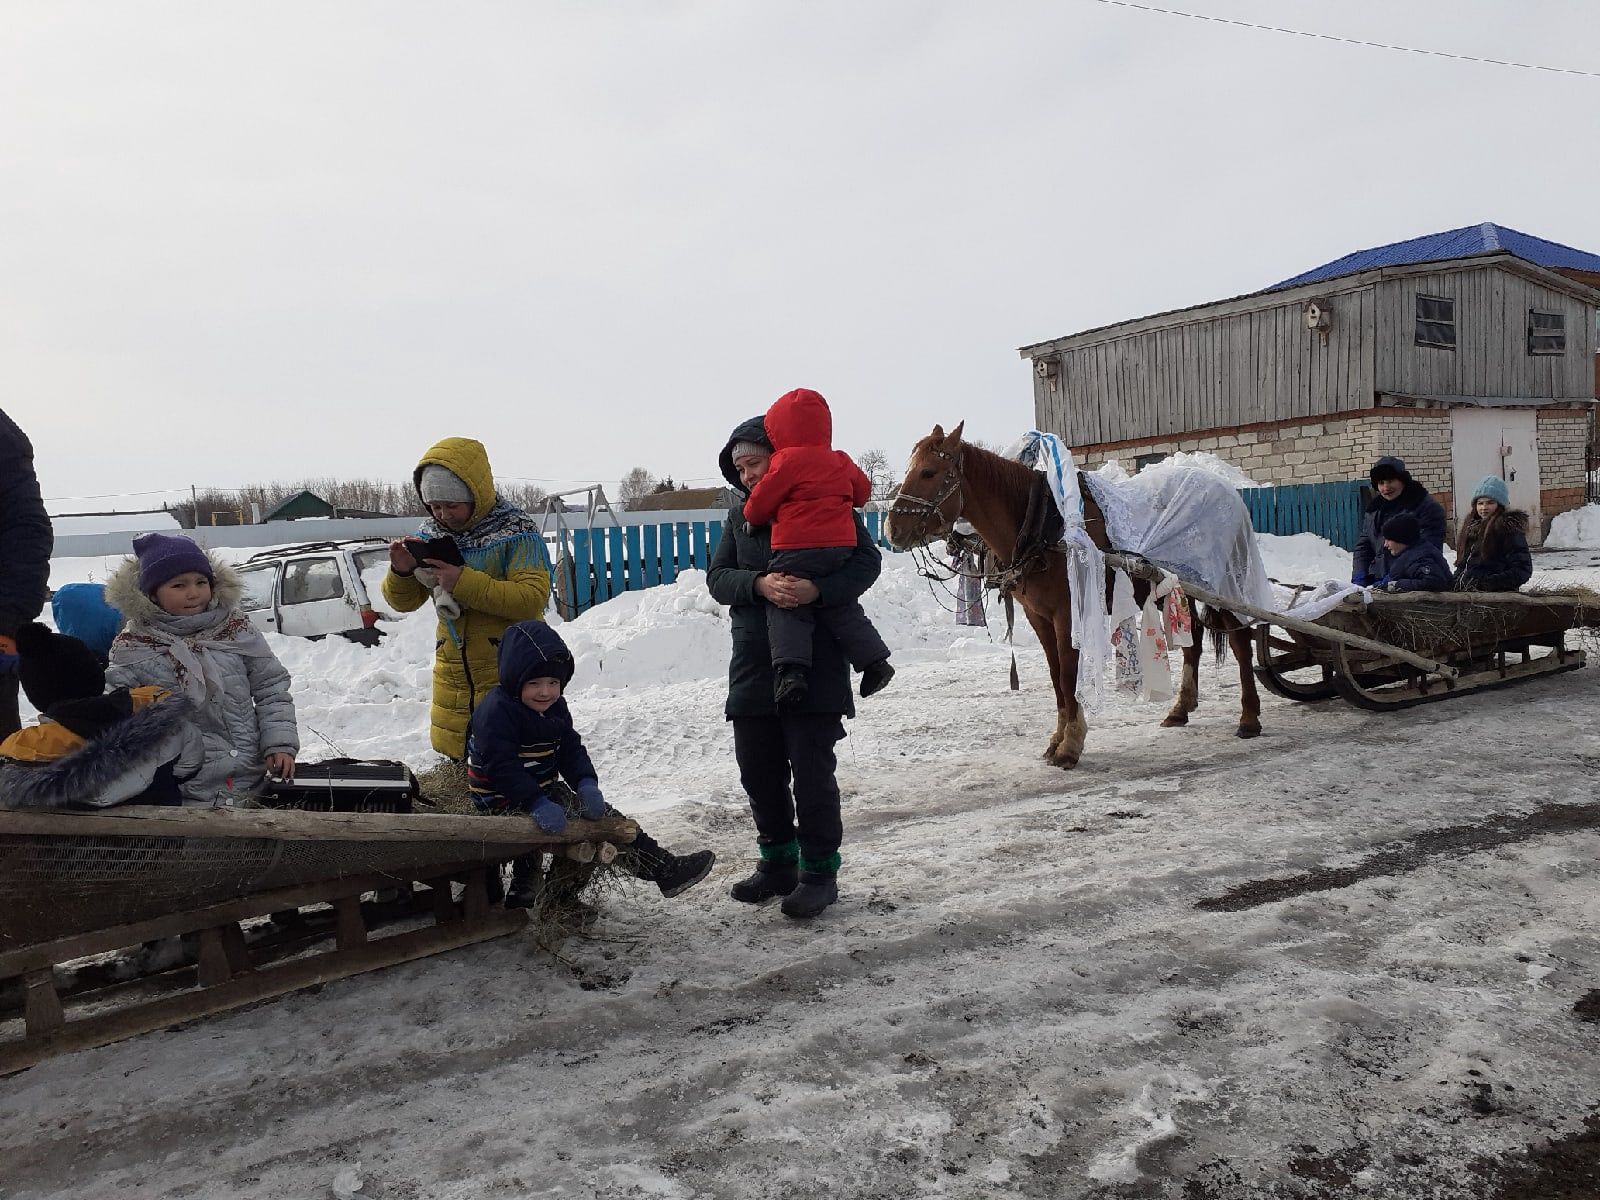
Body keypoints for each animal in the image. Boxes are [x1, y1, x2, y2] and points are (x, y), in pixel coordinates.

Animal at [876, 422, 1260, 771]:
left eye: (928, 472)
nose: (892, 529)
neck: (1041, 526)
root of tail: (1226, 490)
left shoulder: (1067, 613)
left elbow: (1067, 675)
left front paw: (1071, 744)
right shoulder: (1038, 615)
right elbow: (1054, 675)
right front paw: (1057, 738)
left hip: (1224, 583)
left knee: (1241, 642)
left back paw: (1249, 717)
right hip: (1177, 588)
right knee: (1193, 640)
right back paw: (1180, 709)